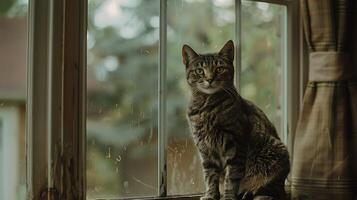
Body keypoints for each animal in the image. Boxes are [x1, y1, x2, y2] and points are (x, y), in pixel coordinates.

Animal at [182, 40, 288, 200]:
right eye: (200, 71)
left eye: (219, 69)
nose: (209, 79)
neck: (207, 106)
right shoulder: (205, 148)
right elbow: (210, 176)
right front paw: (211, 195)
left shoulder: (235, 145)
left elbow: (231, 177)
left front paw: (228, 197)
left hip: (276, 156)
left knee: (269, 189)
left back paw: (249, 192)